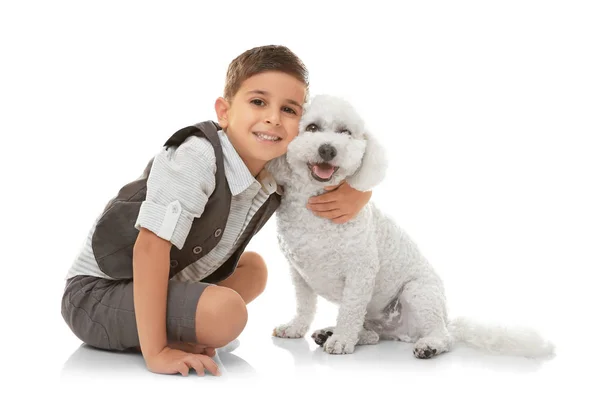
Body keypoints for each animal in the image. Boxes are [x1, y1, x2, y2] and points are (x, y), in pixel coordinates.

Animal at [270, 95, 556, 360]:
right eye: (312, 128)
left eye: (346, 132)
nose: (328, 150)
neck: (314, 205)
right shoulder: (299, 273)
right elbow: (304, 305)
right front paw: (296, 328)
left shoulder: (360, 271)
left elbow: (350, 310)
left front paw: (341, 341)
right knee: (372, 334)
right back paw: (334, 332)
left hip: (418, 293)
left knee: (443, 336)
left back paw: (427, 345)